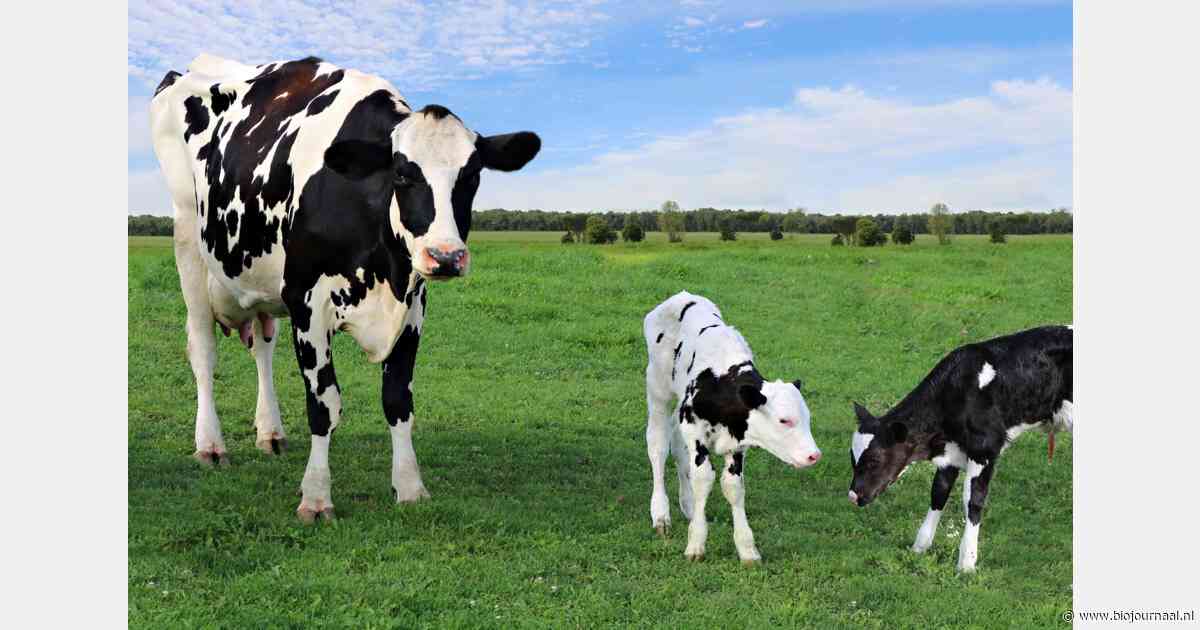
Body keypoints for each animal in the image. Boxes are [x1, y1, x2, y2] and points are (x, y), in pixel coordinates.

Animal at [150, 54, 540, 518]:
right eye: (402, 175)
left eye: (473, 175)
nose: (445, 257)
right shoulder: (307, 303)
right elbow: (324, 405)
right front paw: (316, 497)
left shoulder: (413, 307)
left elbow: (398, 400)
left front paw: (410, 487)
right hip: (189, 243)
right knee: (203, 350)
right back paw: (211, 445)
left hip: (261, 283)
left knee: (262, 349)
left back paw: (270, 433)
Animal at [648, 292, 825, 561]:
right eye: (784, 420)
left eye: (807, 418)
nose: (814, 455)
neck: (722, 382)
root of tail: (682, 296)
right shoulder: (695, 433)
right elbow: (703, 479)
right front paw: (696, 544)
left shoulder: (737, 443)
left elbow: (733, 487)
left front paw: (747, 549)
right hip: (658, 392)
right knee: (658, 447)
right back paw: (660, 514)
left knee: (678, 449)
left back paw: (687, 505)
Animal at [849, 324, 1075, 568]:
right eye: (852, 459)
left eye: (874, 460)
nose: (852, 496)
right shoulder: (950, 453)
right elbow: (938, 493)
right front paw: (920, 547)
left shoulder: (984, 450)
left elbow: (973, 501)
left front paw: (967, 562)